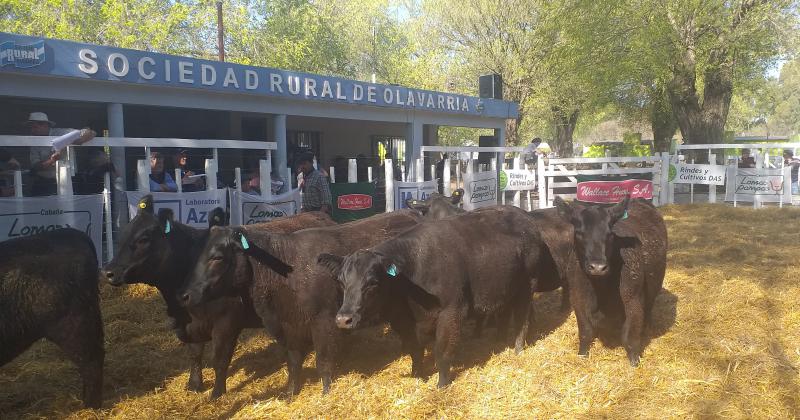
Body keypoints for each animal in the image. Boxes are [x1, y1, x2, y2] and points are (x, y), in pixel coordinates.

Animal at [102, 197, 334, 398]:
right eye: (121, 235)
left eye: (143, 239)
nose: (108, 271)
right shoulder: (191, 324)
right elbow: (195, 355)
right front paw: (194, 385)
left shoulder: (226, 322)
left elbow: (219, 359)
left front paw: (217, 392)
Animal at [179, 212, 422, 396]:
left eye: (217, 257)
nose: (185, 295)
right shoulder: (288, 326)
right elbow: (293, 362)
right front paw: (290, 392)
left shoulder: (325, 321)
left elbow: (323, 362)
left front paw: (326, 393)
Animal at [318, 207, 544, 388]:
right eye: (341, 281)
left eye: (372, 282)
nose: (343, 319)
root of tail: (524, 216)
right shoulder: (403, 320)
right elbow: (414, 350)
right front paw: (417, 376)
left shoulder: (451, 312)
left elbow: (442, 352)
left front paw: (442, 385)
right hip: (505, 288)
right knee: (504, 315)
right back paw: (499, 341)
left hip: (527, 285)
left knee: (522, 318)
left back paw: (517, 348)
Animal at [552, 197, 664, 364]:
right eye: (579, 233)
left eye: (610, 234)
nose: (598, 267)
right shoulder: (577, 298)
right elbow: (585, 330)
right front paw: (582, 353)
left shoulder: (633, 299)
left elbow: (630, 335)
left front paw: (634, 361)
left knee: (649, 308)